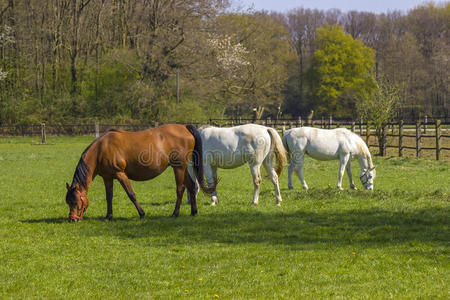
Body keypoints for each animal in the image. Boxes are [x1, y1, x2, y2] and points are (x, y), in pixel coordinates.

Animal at [64, 123, 211, 221]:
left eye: (75, 201)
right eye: (68, 202)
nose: (72, 219)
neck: (102, 149)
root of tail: (185, 127)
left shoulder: (120, 174)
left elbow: (131, 194)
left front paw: (142, 214)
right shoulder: (108, 177)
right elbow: (109, 197)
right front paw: (108, 216)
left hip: (178, 168)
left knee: (180, 189)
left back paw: (175, 213)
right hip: (183, 168)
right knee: (191, 186)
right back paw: (193, 211)